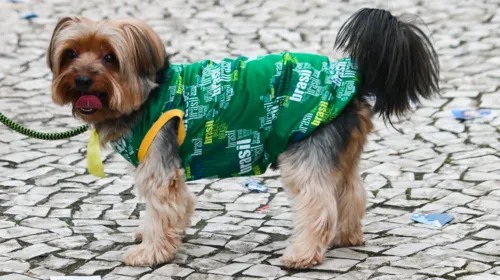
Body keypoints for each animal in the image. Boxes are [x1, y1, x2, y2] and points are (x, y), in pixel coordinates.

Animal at [46, 7, 438, 268]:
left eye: (110, 57)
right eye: (71, 54)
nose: (82, 79)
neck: (147, 93)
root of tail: (352, 78)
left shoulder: (160, 168)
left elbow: (164, 210)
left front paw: (150, 252)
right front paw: (151, 236)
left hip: (304, 148)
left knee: (319, 205)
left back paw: (303, 254)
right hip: (339, 154)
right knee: (351, 192)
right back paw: (346, 236)